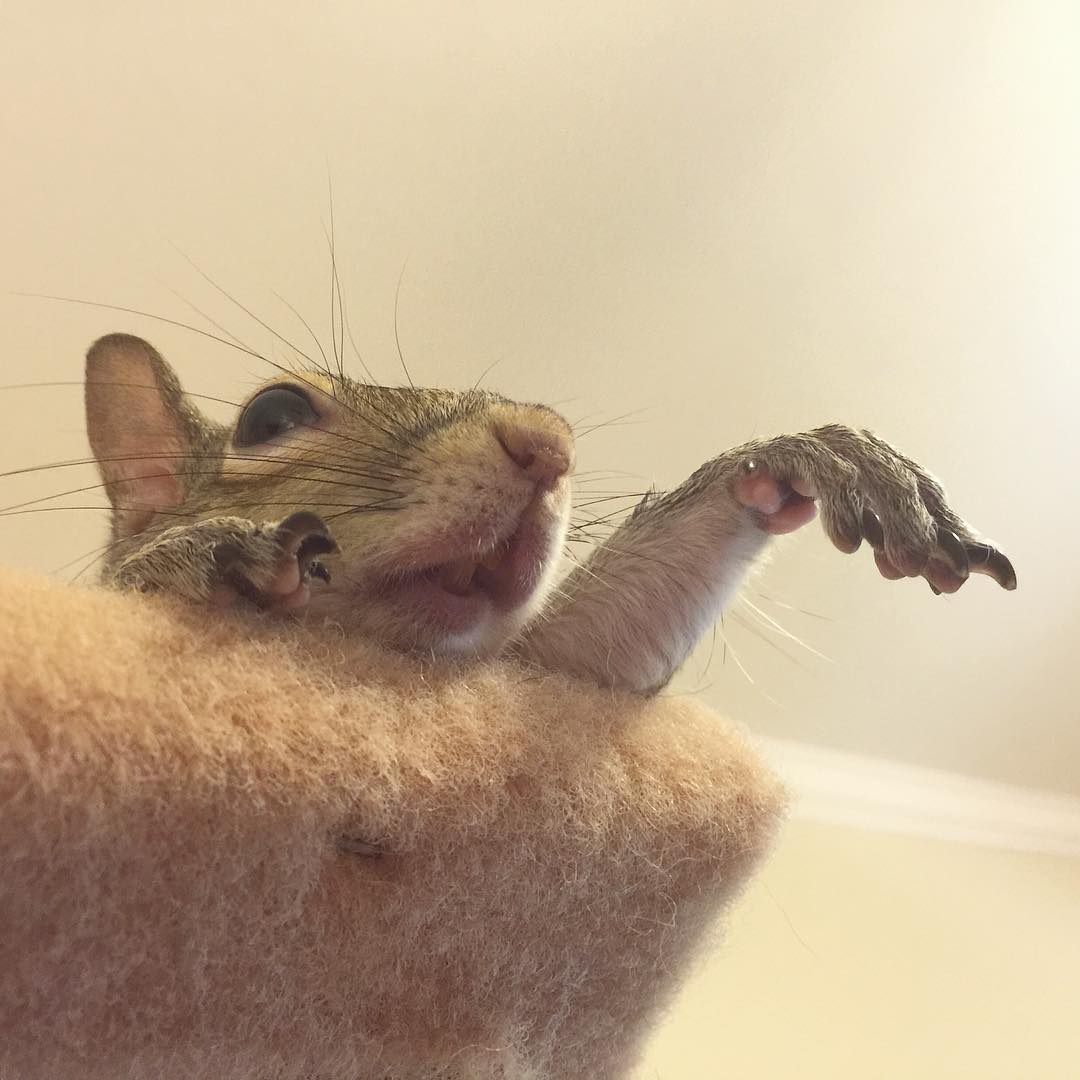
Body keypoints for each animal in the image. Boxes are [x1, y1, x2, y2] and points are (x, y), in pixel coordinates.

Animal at [85, 332, 1015, 697]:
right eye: (270, 417)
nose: (547, 444)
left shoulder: (558, 674)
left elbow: (607, 645)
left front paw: (817, 456)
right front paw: (210, 553)